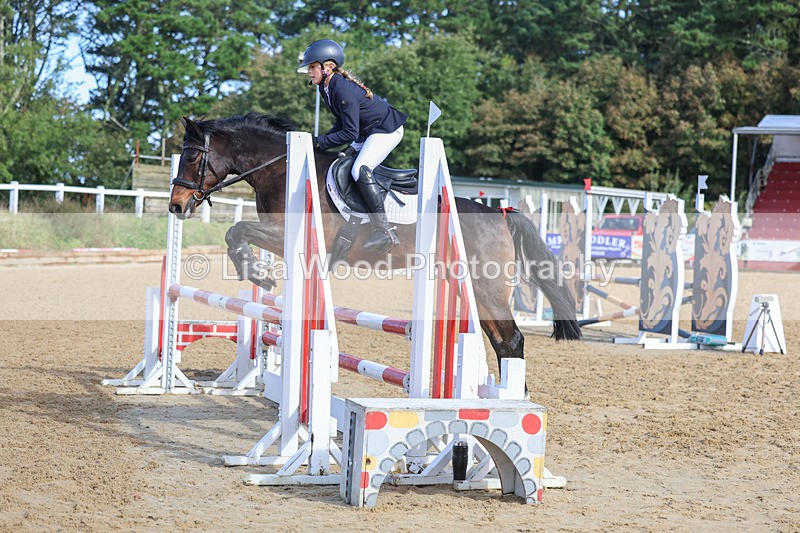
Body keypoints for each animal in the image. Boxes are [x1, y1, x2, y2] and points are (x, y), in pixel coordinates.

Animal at [168, 113, 581, 382]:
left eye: (193, 156)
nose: (176, 206)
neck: (280, 167)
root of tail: (499, 212)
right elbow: (237, 234)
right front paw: (257, 273)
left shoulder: (289, 235)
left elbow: (235, 230)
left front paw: (255, 271)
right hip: (475, 290)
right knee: (500, 342)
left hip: (487, 287)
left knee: (511, 339)